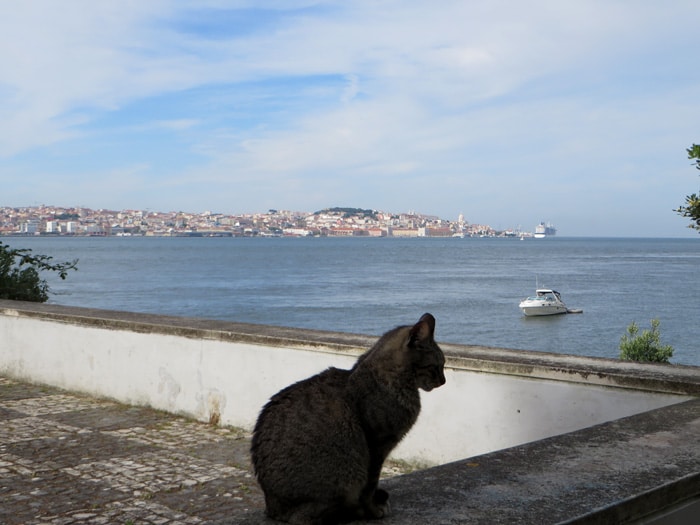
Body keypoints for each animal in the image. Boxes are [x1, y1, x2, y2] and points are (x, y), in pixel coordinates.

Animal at [252, 314, 446, 520]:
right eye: (438, 366)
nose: (443, 381)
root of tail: (273, 508)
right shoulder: (377, 446)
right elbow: (370, 486)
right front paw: (373, 509)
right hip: (345, 475)